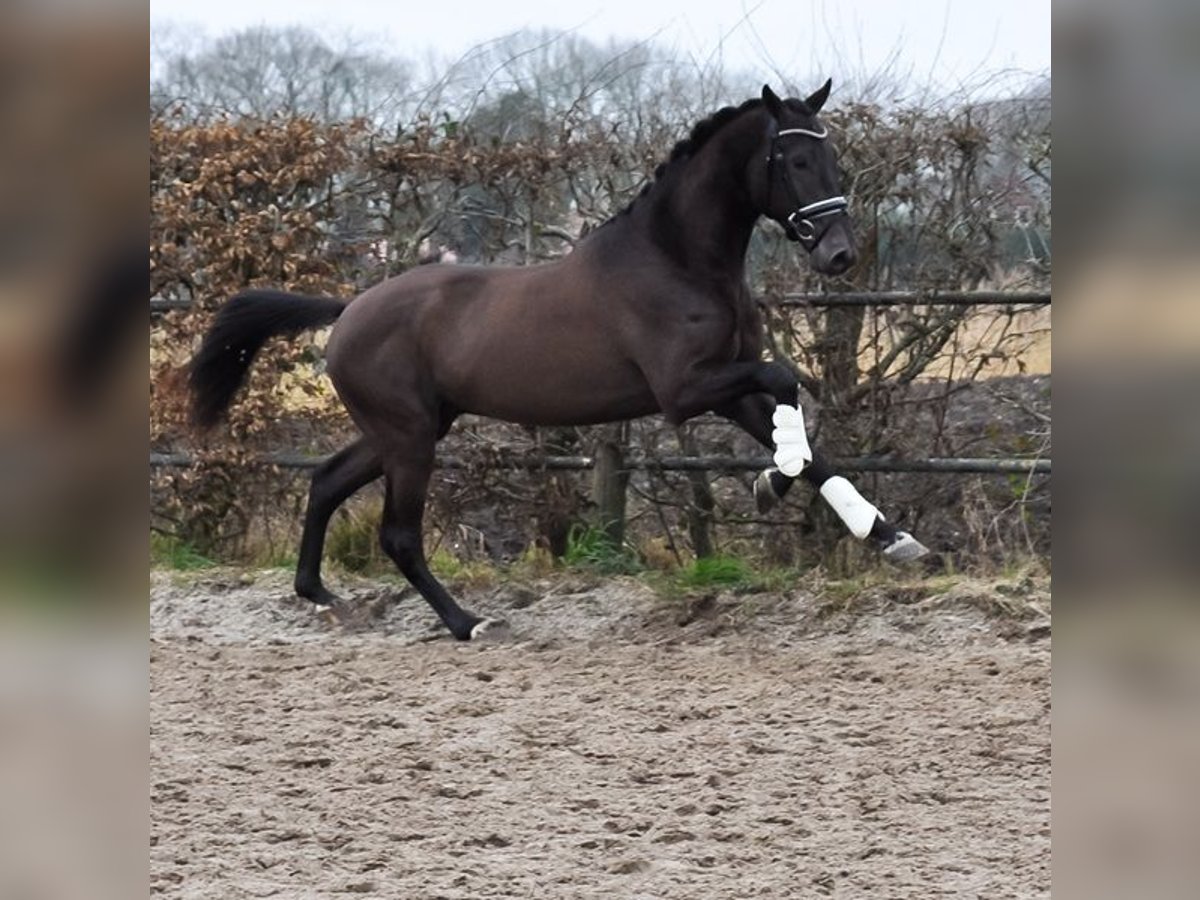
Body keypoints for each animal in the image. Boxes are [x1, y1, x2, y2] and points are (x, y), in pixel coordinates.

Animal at [192, 79, 931, 643]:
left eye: (830, 156)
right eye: (794, 160)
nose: (839, 252)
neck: (678, 261)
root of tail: (348, 311)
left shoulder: (727, 386)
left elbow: (805, 439)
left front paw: (887, 535)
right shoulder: (685, 390)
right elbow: (787, 381)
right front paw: (771, 483)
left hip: (407, 428)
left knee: (324, 482)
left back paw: (319, 594)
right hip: (408, 436)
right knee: (398, 533)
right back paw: (467, 622)